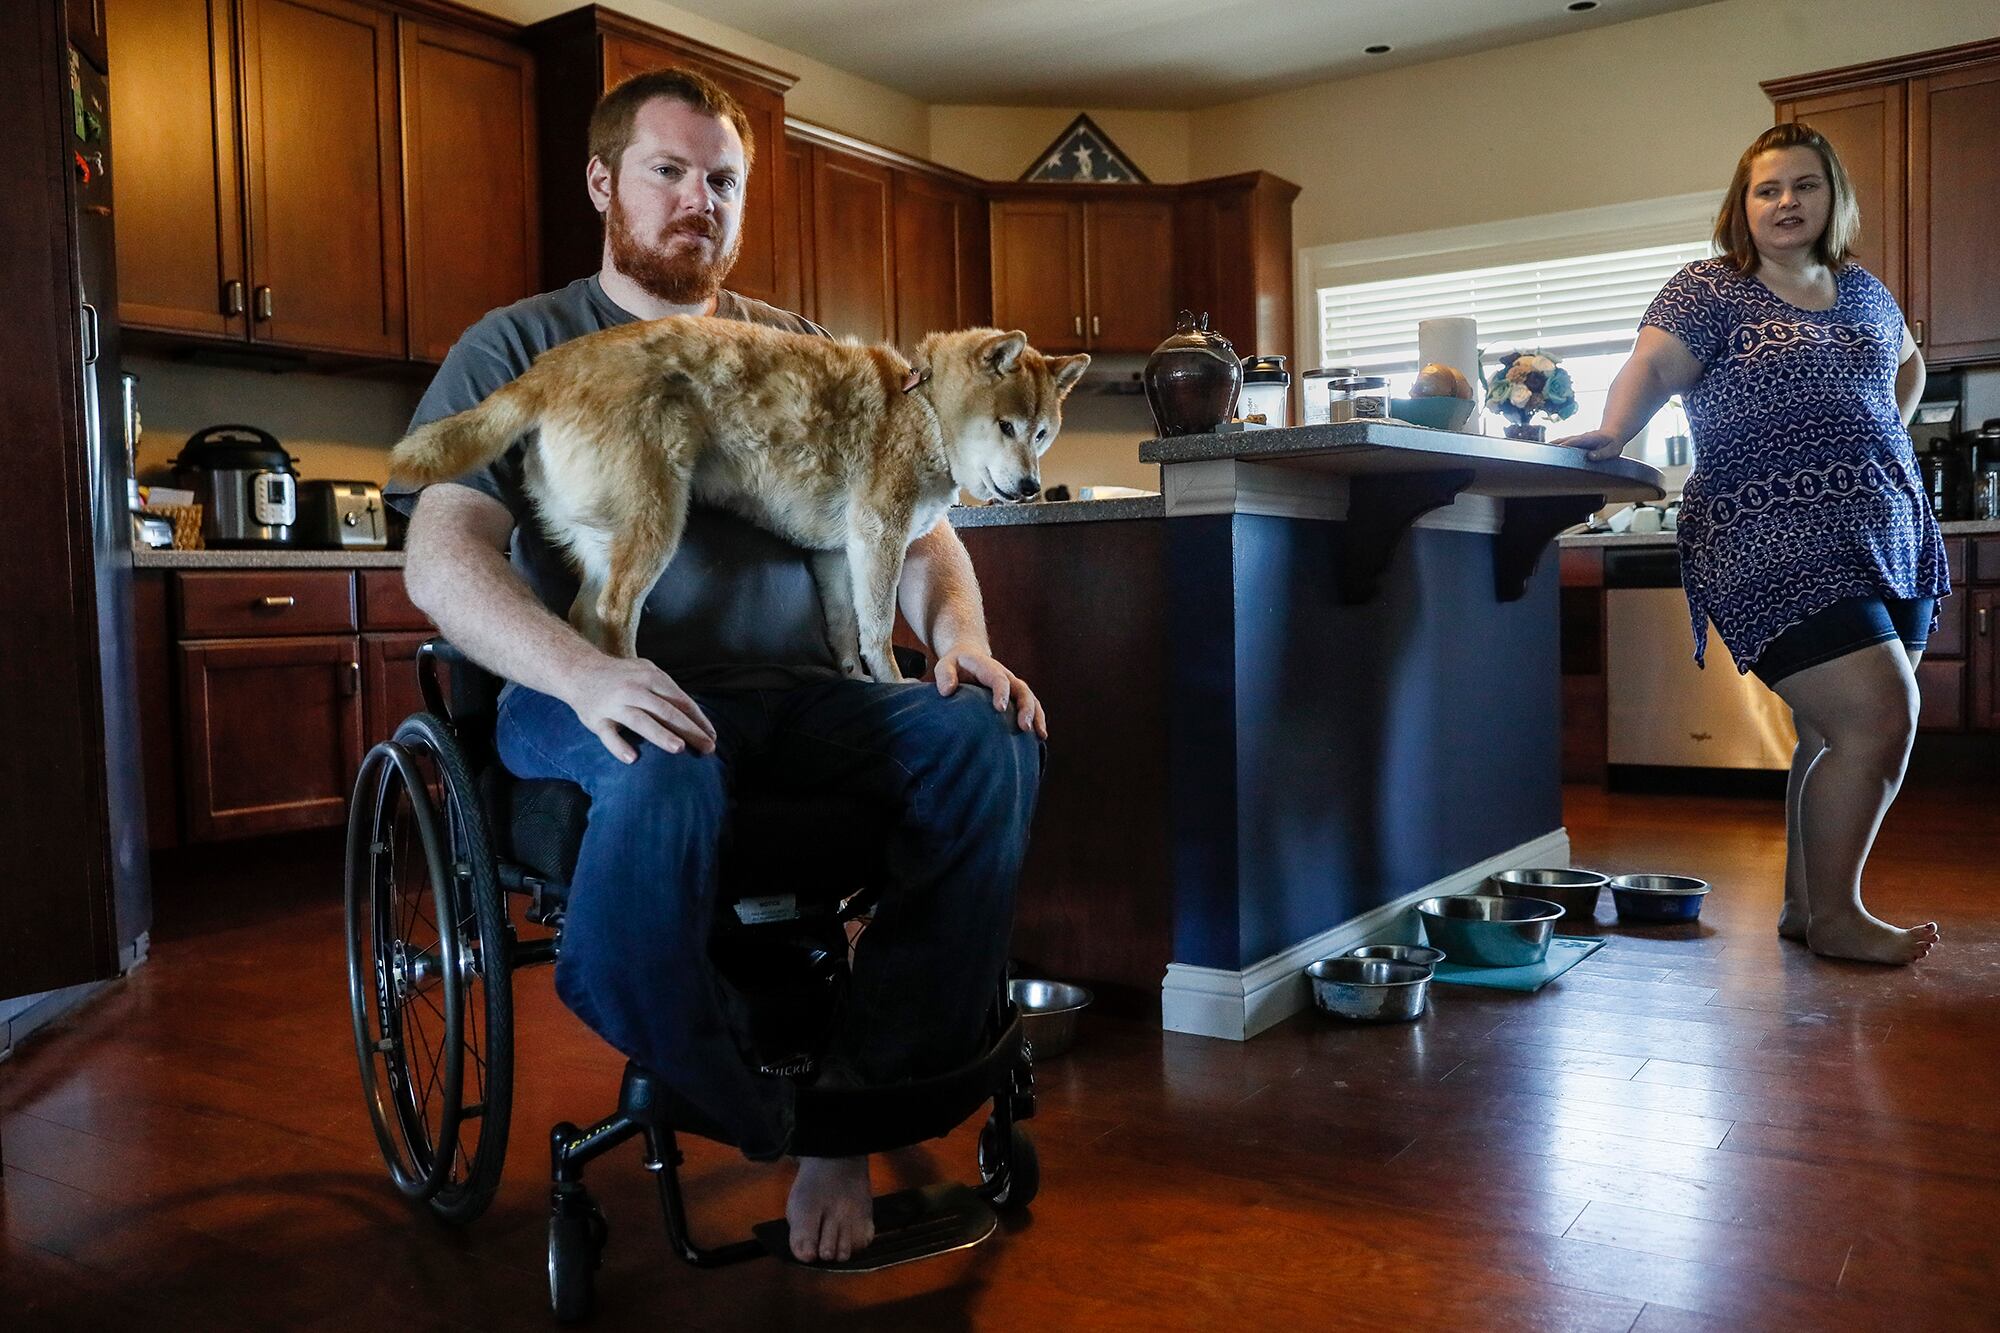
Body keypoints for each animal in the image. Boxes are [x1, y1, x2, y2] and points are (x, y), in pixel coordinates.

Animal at [382, 318, 1088, 680]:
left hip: (607, 537)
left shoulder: (836, 555)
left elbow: (844, 631)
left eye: (1042, 433)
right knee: (612, 615)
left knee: (584, 615)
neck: (923, 405)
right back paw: (640, 684)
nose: (1030, 489)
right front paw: (894, 683)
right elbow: (879, 630)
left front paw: (859, 684)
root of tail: (549, 370)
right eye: (1006, 426)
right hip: (654, 522)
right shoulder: (877, 537)